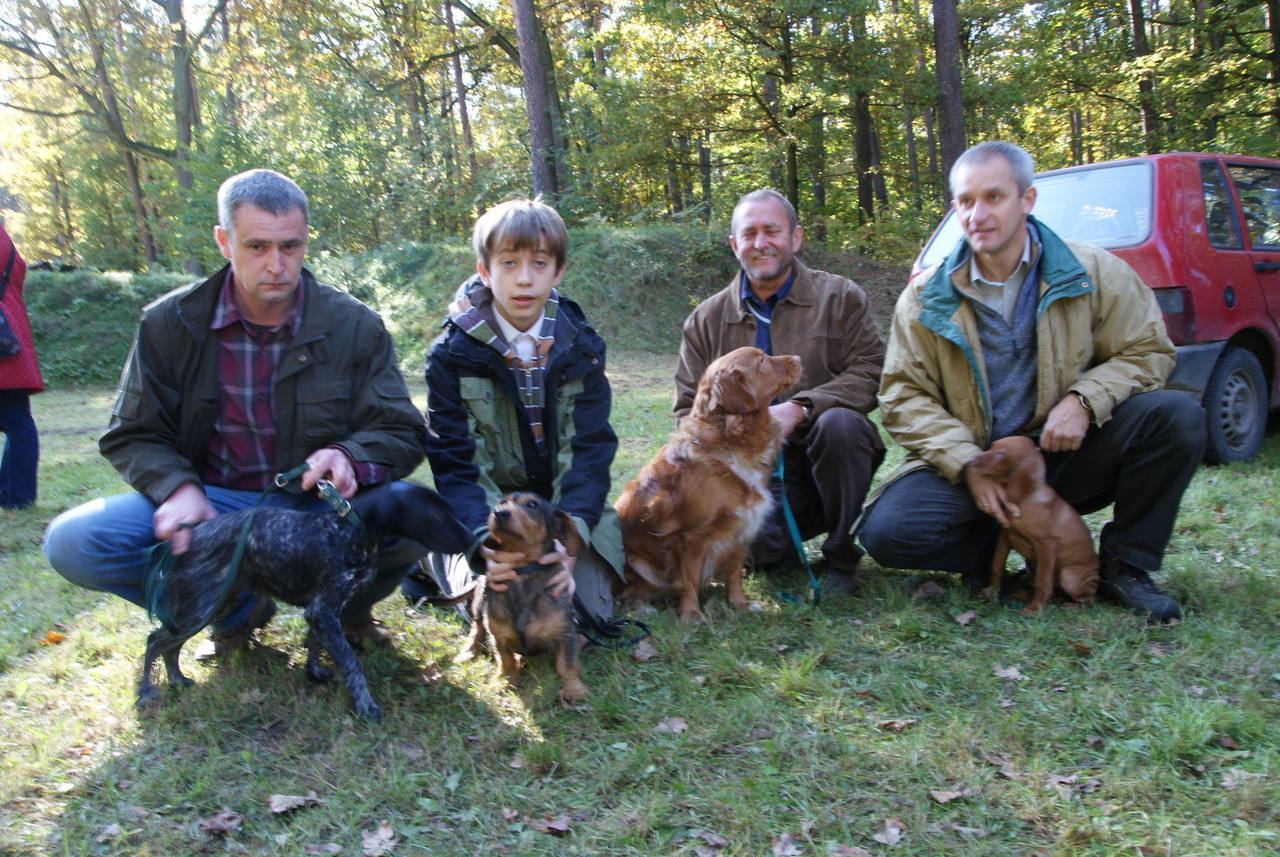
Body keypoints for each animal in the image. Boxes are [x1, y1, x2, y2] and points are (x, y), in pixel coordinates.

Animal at [136, 480, 476, 721]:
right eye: (433, 514)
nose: (472, 539)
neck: (347, 529)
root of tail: (182, 541)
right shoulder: (323, 610)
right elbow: (350, 662)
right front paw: (365, 705)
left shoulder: (320, 613)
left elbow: (314, 644)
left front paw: (314, 673)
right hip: (202, 607)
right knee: (156, 641)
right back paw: (146, 692)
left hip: (215, 603)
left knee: (170, 646)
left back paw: (177, 680)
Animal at [455, 493, 588, 700]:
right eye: (501, 502)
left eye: (532, 504)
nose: (498, 513)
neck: (521, 572)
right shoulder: (498, 637)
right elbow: (505, 661)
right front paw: (502, 681)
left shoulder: (564, 634)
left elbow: (565, 664)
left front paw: (574, 687)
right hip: (479, 603)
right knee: (476, 630)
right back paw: (467, 653)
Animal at [611, 347, 798, 624]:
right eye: (762, 360)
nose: (798, 358)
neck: (730, 442)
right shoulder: (689, 537)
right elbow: (688, 579)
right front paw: (691, 614)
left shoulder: (742, 527)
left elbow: (734, 572)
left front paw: (739, 603)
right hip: (634, 560)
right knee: (627, 592)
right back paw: (643, 608)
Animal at [967, 440, 1100, 613]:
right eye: (992, 446)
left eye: (1000, 454)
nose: (969, 461)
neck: (1025, 499)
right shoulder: (1005, 534)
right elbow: (997, 564)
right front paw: (992, 590)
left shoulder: (1047, 544)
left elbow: (1042, 581)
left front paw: (1034, 609)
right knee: (1055, 592)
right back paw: (1024, 594)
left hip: (1069, 575)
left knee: (1088, 600)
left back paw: (1072, 606)